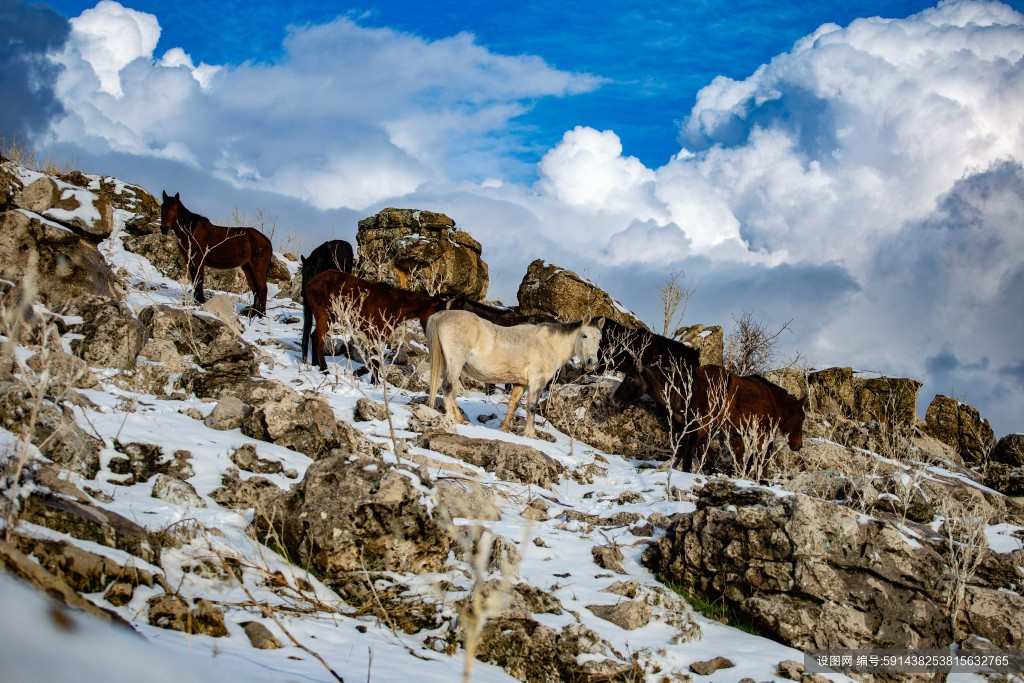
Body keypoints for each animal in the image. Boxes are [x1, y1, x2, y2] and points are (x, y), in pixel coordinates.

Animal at [303, 268, 448, 374]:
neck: (395, 305)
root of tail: (310, 283)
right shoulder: (374, 334)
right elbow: (374, 360)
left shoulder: (381, 336)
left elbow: (376, 360)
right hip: (324, 317)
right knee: (318, 340)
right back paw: (324, 369)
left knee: (313, 336)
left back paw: (316, 364)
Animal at [428, 309, 602, 438]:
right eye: (584, 335)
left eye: (599, 339)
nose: (592, 363)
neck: (548, 344)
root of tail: (441, 315)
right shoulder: (536, 381)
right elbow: (531, 406)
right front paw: (530, 434)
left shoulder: (521, 383)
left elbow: (513, 404)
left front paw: (504, 429)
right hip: (455, 362)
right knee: (448, 387)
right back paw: (452, 418)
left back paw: (460, 419)